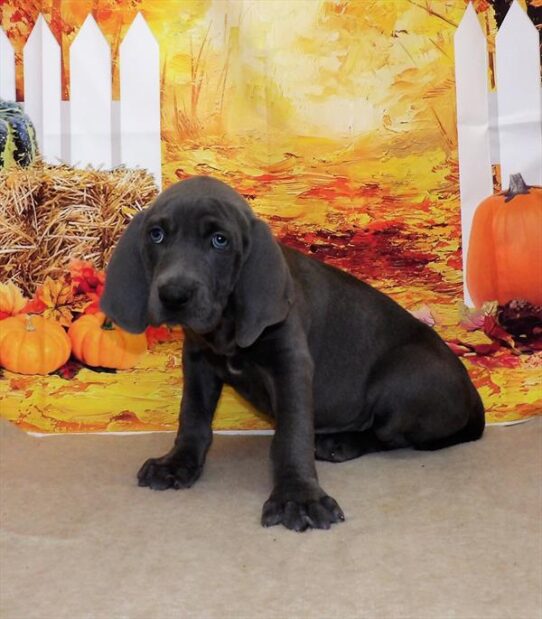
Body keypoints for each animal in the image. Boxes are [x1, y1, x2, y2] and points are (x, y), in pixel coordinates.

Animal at [101, 176, 484, 532]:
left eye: (220, 241)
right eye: (156, 235)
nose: (174, 295)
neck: (227, 325)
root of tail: (472, 394)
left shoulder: (291, 364)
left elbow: (291, 433)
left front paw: (298, 497)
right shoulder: (198, 361)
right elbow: (192, 418)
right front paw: (177, 463)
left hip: (403, 377)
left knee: (389, 436)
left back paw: (340, 443)